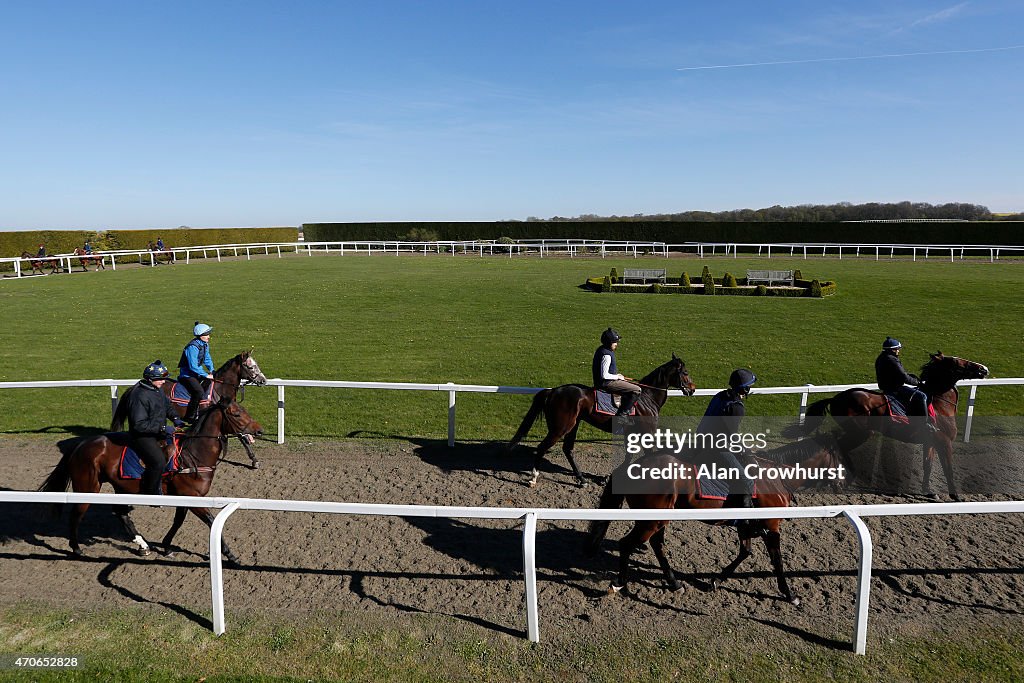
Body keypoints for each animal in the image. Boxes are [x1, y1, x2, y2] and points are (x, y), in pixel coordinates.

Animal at [39, 397, 264, 565]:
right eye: (237, 414)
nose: (259, 430)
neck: (192, 454)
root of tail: (80, 445)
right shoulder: (193, 498)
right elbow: (211, 521)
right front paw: (231, 555)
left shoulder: (185, 498)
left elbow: (178, 522)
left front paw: (166, 547)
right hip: (88, 487)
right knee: (77, 514)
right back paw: (76, 548)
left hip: (120, 486)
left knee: (120, 513)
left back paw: (143, 545)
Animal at [112, 352, 268, 471]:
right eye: (250, 366)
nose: (263, 380)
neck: (219, 389)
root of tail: (135, 386)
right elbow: (242, 436)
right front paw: (254, 460)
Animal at [505, 356, 696, 489]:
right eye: (685, 373)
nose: (693, 389)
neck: (647, 397)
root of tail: (552, 391)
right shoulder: (646, 432)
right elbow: (647, 455)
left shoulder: (630, 433)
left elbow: (629, 456)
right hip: (560, 428)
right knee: (542, 447)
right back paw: (533, 478)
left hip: (574, 424)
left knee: (568, 449)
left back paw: (582, 480)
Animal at [589, 432, 843, 602]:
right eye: (840, 458)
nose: (842, 483)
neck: (776, 476)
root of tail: (633, 467)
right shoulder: (771, 526)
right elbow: (777, 560)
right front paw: (789, 594)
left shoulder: (745, 525)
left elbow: (745, 552)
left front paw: (716, 581)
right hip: (651, 520)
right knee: (628, 544)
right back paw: (619, 583)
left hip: (658, 518)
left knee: (656, 544)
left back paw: (674, 583)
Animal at [794, 356, 987, 499]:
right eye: (957, 362)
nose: (983, 368)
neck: (939, 403)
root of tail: (835, 398)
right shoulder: (944, 442)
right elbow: (948, 468)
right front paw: (956, 496)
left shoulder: (930, 442)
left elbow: (928, 466)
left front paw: (929, 492)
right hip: (861, 432)